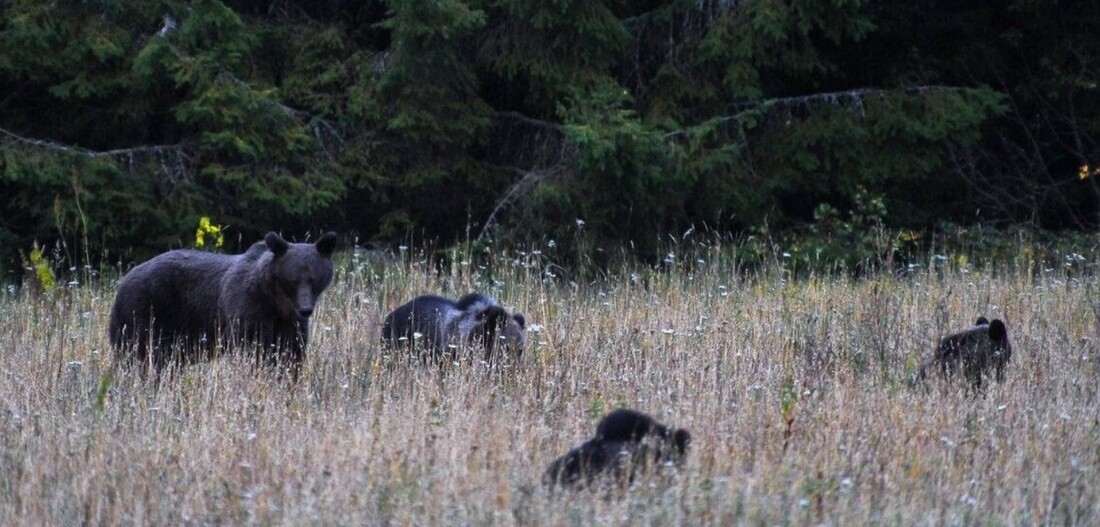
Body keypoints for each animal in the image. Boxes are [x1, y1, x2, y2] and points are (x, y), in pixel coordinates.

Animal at [111, 231, 336, 378]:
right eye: (293, 279)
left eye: (314, 278)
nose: (305, 309)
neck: (275, 301)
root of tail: (124, 279)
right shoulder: (247, 310)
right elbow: (249, 350)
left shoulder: (289, 324)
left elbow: (291, 354)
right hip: (144, 312)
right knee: (137, 355)